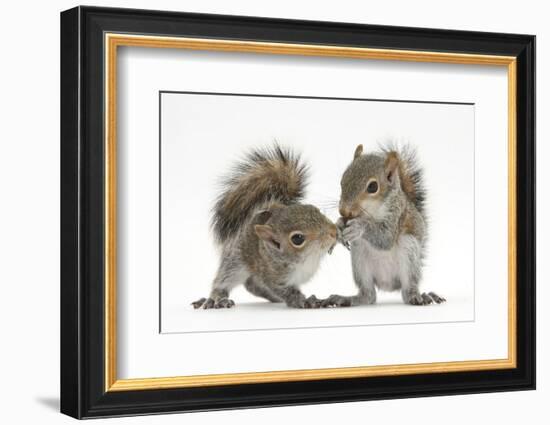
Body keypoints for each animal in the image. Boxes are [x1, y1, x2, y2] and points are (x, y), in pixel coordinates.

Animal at [194, 142, 340, 308]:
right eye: (297, 239)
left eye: (314, 209)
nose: (333, 232)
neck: (306, 259)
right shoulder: (272, 276)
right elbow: (286, 291)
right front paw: (303, 300)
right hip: (235, 261)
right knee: (225, 279)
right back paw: (216, 298)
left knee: (252, 285)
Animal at [326, 144, 446, 306]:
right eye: (343, 180)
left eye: (372, 187)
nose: (344, 210)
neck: (372, 210)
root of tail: (388, 284)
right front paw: (338, 224)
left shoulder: (396, 214)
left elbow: (385, 238)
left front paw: (359, 226)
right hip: (359, 257)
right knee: (369, 295)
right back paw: (347, 299)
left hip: (409, 251)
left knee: (406, 290)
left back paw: (417, 297)